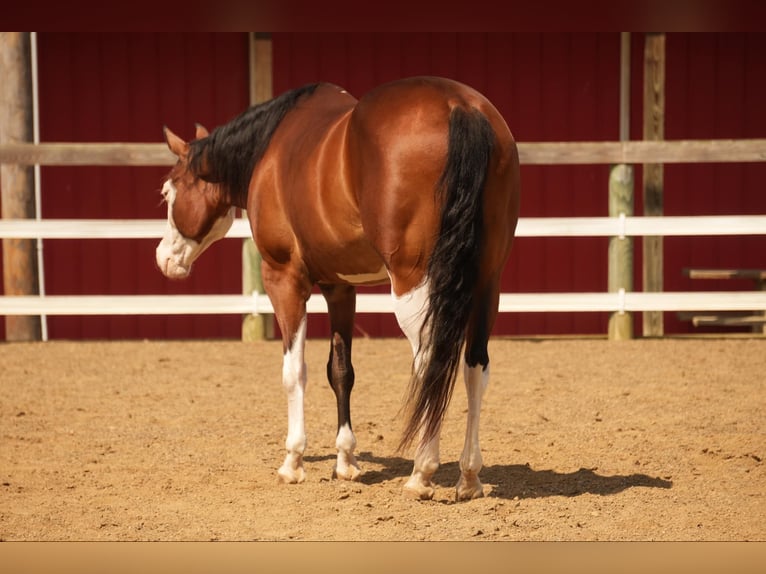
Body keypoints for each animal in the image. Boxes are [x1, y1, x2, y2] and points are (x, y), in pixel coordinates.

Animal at [159, 75, 524, 500]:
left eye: (167, 193)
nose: (164, 258)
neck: (271, 148)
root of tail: (459, 106)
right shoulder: (340, 287)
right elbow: (341, 370)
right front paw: (346, 461)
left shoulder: (283, 279)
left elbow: (294, 370)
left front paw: (293, 462)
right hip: (486, 284)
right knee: (474, 367)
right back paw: (469, 476)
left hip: (414, 284)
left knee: (429, 363)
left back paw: (422, 472)